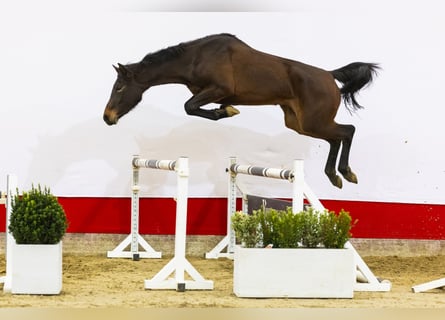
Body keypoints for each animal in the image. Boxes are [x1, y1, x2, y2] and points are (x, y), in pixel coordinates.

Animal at [104, 33, 378, 188]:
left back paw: (345, 173)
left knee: (347, 131)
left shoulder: (218, 88)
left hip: (313, 122)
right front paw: (225, 110)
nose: (107, 117)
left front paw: (226, 112)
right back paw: (334, 175)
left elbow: (190, 106)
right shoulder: (210, 92)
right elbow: (194, 106)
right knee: (336, 137)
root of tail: (330, 76)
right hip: (300, 124)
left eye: (119, 87)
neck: (194, 58)